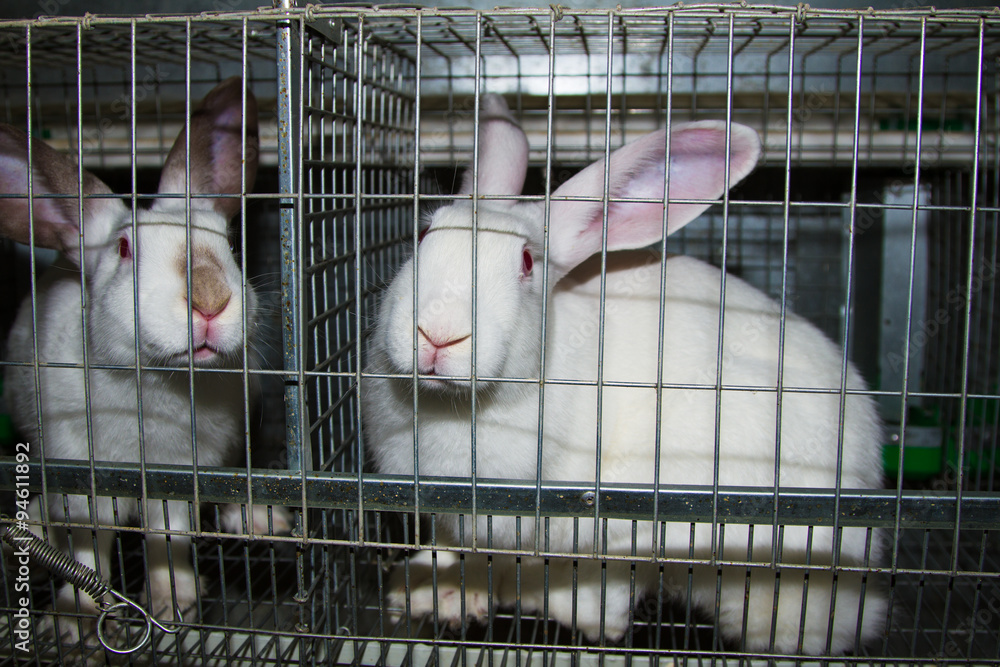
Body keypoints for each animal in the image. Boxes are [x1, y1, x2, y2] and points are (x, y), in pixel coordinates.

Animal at [0, 77, 291, 647]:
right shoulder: (78, 473)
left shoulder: (180, 476)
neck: (158, 385)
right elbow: (89, 545)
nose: (210, 300)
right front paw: (73, 619)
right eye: (123, 249)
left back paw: (259, 519)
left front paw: (174, 602)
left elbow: (166, 535)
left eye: (228, 244)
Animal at [363, 94, 886, 655]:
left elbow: (605, 573)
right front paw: (428, 593)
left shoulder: (617, 517)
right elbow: (451, 549)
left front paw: (587, 619)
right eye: (423, 233)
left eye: (527, 262)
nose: (437, 334)